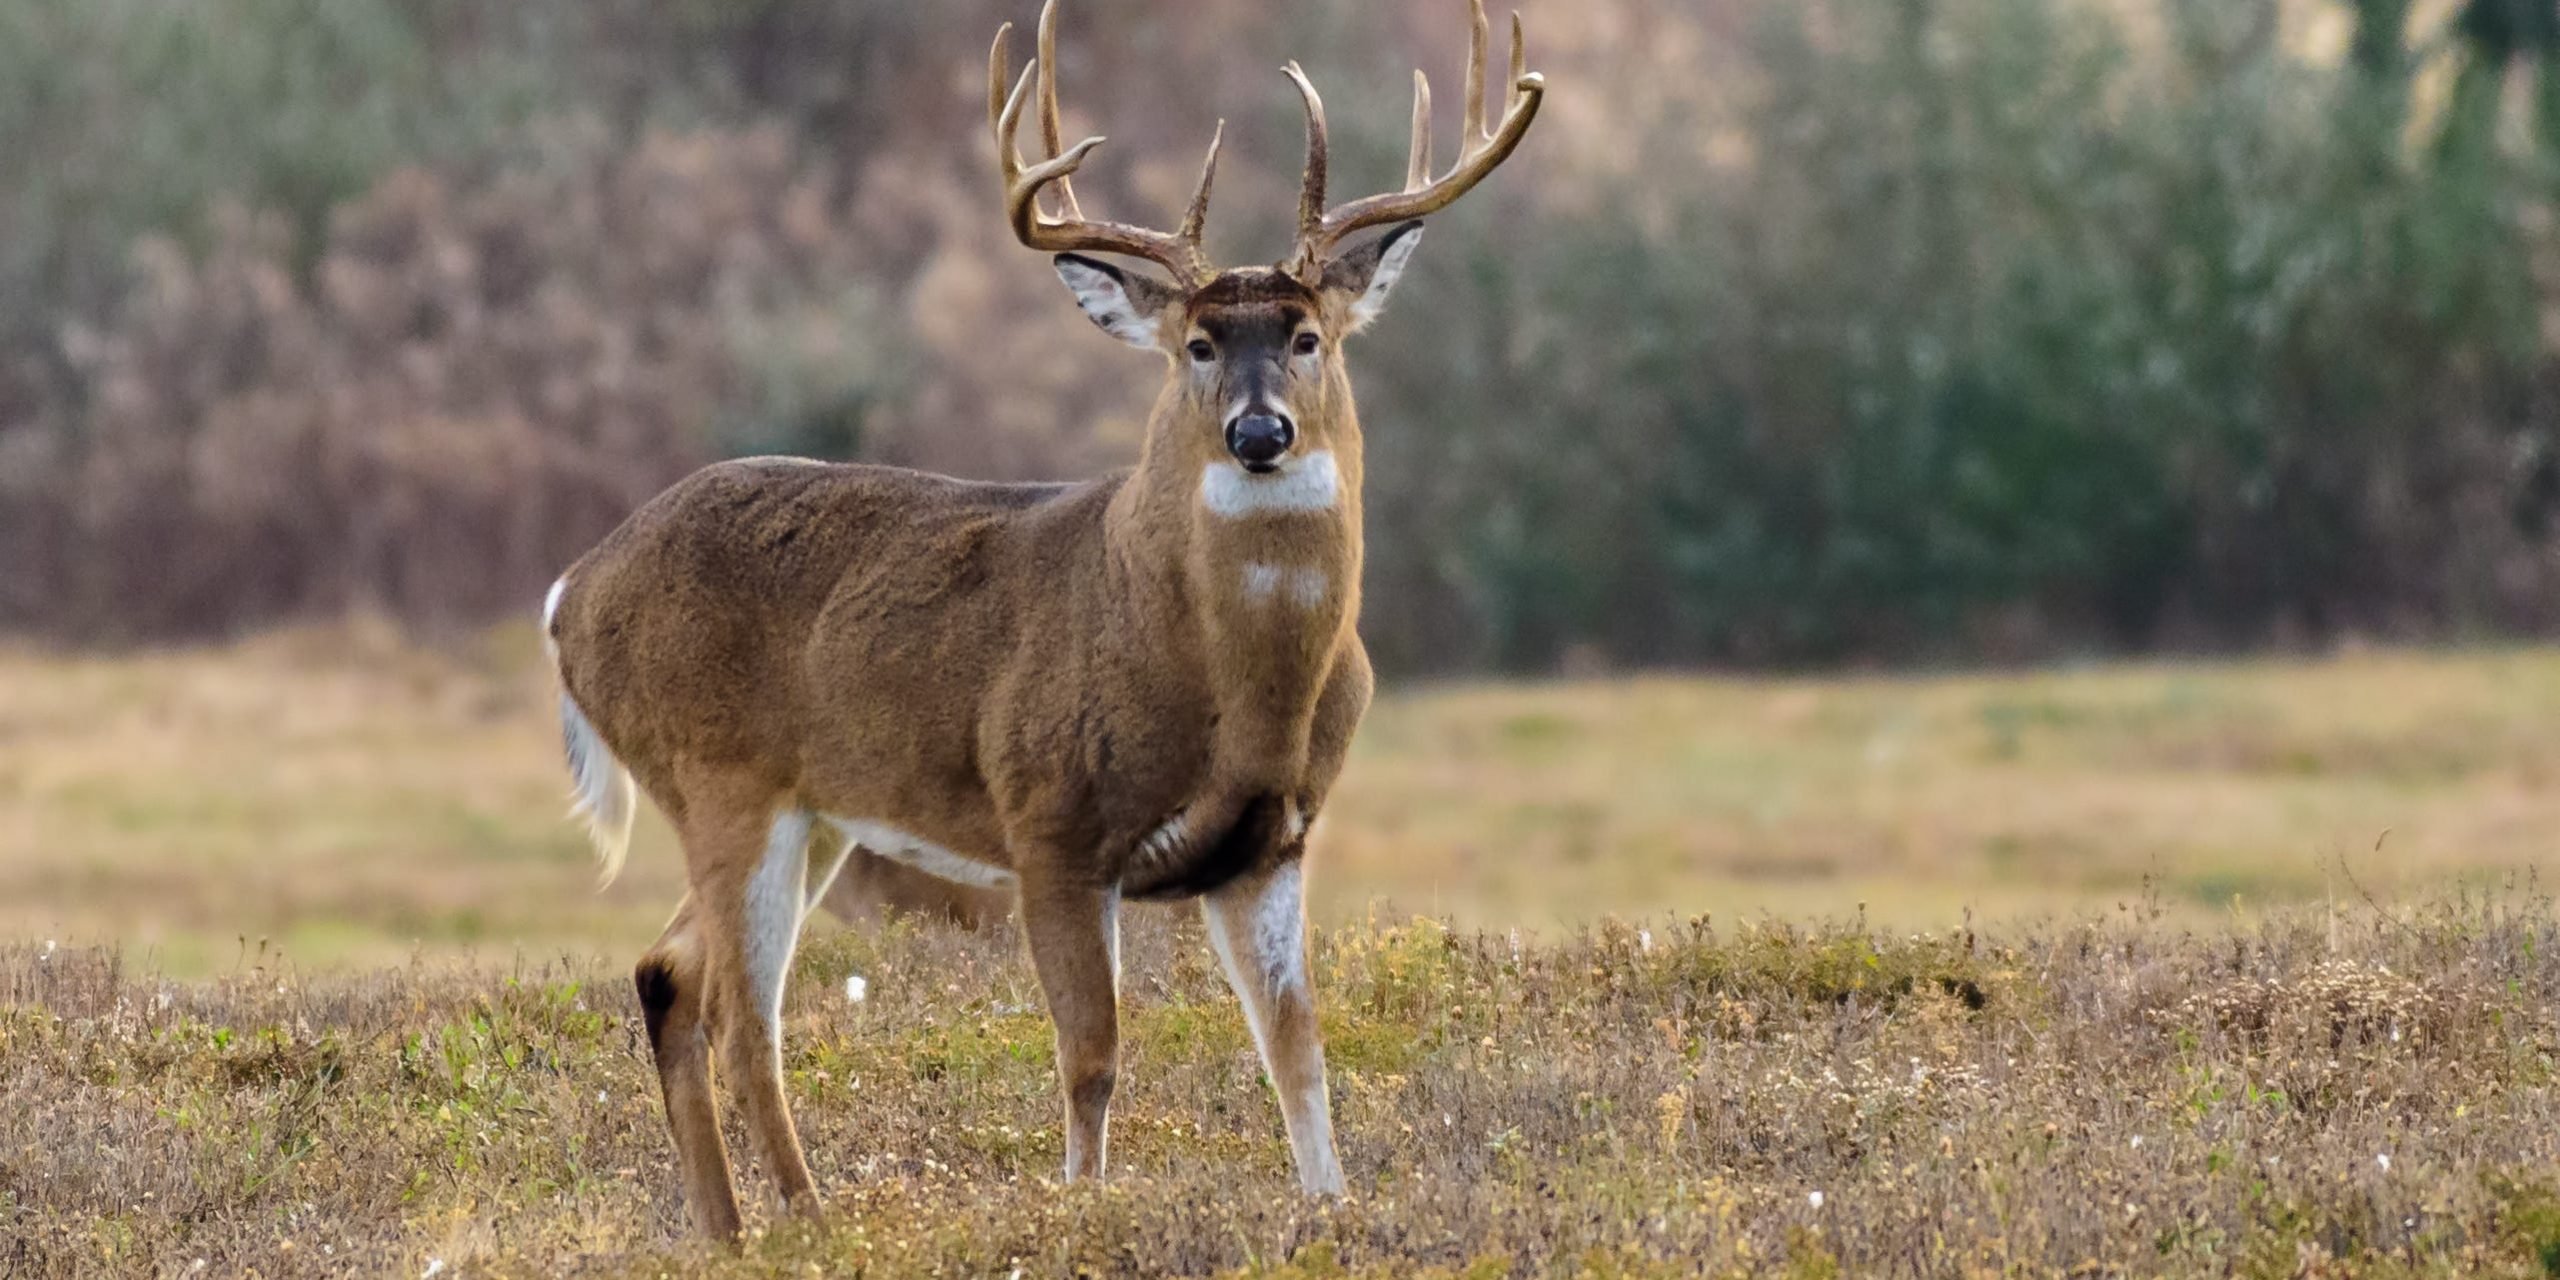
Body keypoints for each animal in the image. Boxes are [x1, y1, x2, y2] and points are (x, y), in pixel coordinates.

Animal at [545, 0, 1536, 1239]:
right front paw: (1078, 1204)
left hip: (808, 810)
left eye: (1308, 337)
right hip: (721, 774)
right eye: (1197, 344)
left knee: (667, 973)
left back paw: (729, 1230)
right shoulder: (1049, 816)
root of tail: (569, 593)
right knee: (741, 1018)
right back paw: (812, 1219)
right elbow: (1092, 1052)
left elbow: (1296, 1046)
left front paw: (1330, 1206)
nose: (1258, 432)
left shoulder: (1272, 840)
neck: (1225, 684)